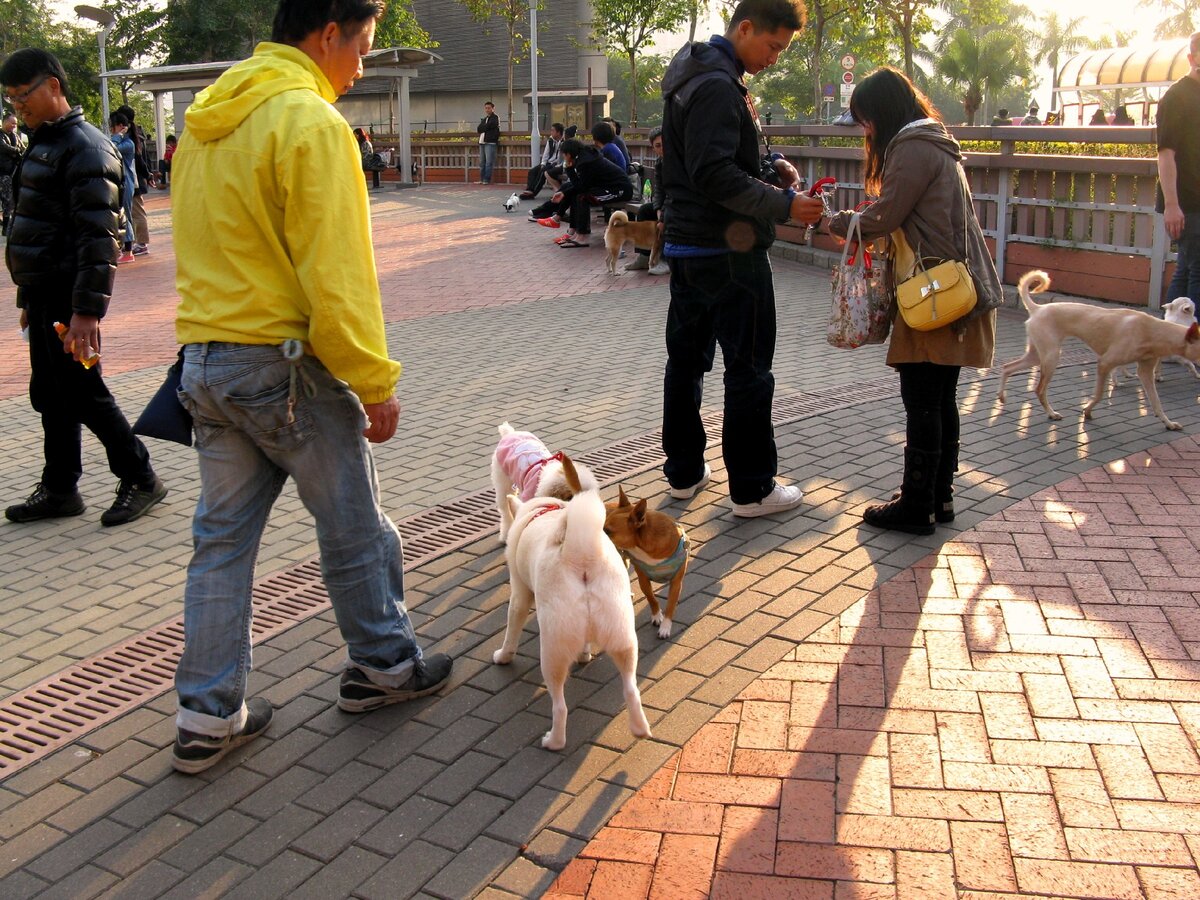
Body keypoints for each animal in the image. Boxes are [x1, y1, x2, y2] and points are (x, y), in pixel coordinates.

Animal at [604, 487, 691, 643]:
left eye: (608, 531)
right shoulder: (643, 579)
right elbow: (651, 598)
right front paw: (657, 616)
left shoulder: (676, 583)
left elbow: (670, 605)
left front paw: (665, 627)